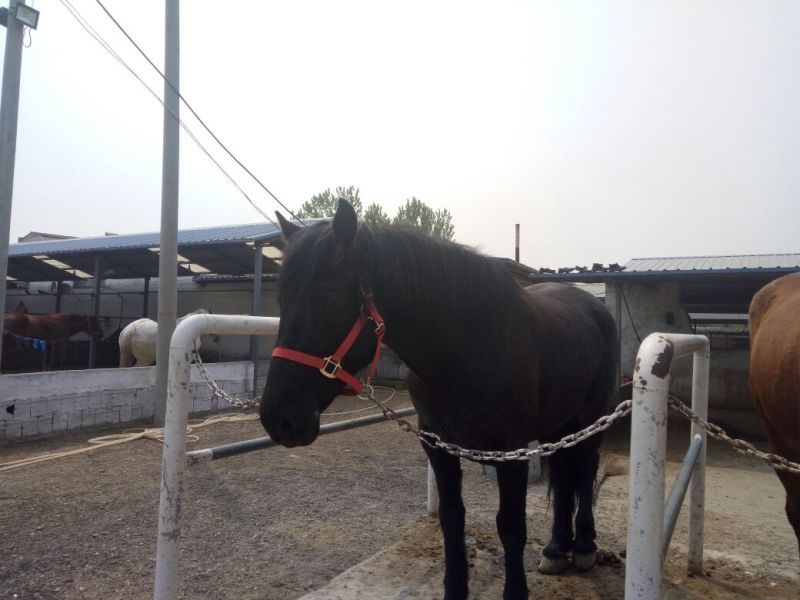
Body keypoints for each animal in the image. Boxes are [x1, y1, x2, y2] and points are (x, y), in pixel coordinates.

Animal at [259, 201, 618, 600]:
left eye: (329, 298)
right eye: (282, 299)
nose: (277, 418)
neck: (468, 351)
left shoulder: (511, 453)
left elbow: (511, 526)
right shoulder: (438, 446)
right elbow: (452, 519)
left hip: (592, 415)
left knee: (585, 470)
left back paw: (583, 547)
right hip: (559, 423)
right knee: (565, 475)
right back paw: (557, 548)